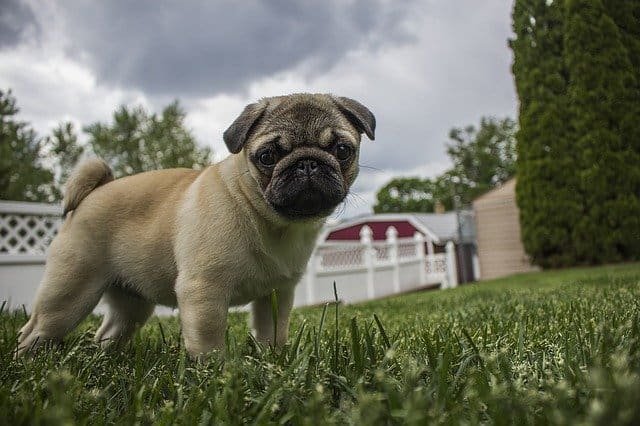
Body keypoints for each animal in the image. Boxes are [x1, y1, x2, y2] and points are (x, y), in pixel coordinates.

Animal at [17, 94, 376, 360]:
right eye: (267, 156)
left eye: (342, 150)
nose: (307, 164)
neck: (269, 220)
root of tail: (95, 191)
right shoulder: (205, 290)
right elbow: (208, 339)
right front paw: (214, 373)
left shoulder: (276, 294)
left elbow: (272, 331)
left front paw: (272, 361)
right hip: (69, 291)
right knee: (36, 329)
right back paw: (27, 362)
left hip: (132, 303)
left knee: (109, 331)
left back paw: (106, 359)